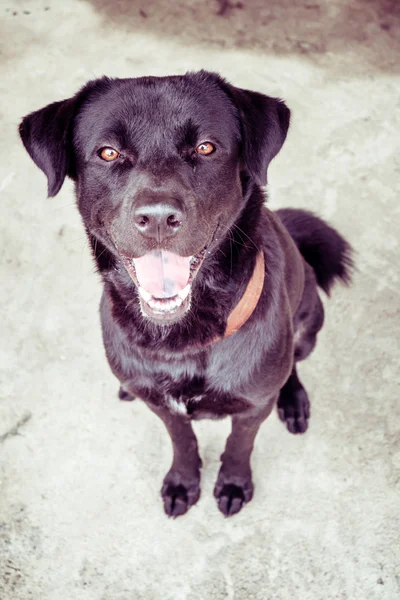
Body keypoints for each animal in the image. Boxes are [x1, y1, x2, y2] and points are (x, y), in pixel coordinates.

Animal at [18, 71, 352, 516]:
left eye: (205, 147)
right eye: (108, 152)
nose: (158, 218)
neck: (182, 340)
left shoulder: (252, 408)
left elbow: (238, 445)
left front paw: (233, 483)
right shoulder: (164, 407)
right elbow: (183, 440)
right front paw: (183, 480)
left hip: (308, 325)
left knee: (293, 363)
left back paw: (293, 398)